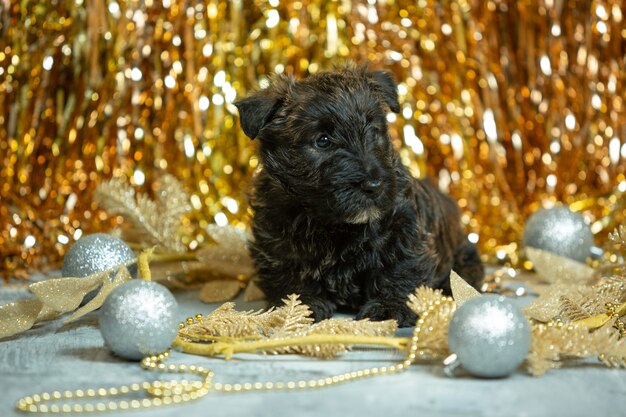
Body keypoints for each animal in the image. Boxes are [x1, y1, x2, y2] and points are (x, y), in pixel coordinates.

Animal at [234, 66, 482, 324]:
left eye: (374, 131)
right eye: (322, 140)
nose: (374, 185)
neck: (332, 224)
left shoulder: (404, 227)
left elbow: (401, 266)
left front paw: (390, 306)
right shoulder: (277, 235)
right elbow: (287, 273)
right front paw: (298, 305)